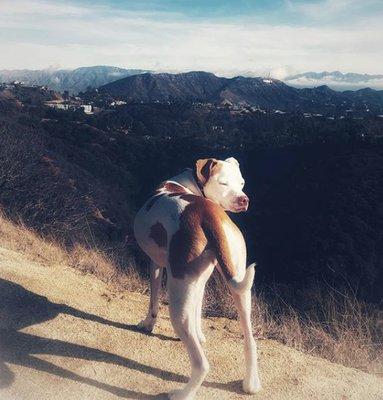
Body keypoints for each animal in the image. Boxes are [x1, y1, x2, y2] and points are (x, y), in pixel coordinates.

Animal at [134, 157, 262, 400]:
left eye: (241, 183)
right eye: (224, 183)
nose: (244, 199)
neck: (188, 183)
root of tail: (208, 215)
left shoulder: (155, 265)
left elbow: (153, 302)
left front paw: (147, 324)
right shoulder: (199, 282)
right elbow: (198, 309)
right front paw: (200, 334)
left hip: (176, 297)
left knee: (201, 364)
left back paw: (182, 393)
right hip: (239, 288)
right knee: (249, 340)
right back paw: (251, 383)